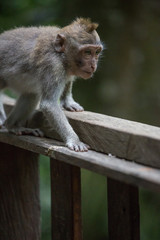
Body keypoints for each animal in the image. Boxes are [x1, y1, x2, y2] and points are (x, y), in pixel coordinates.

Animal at [0, 17, 103, 151]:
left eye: (97, 52)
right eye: (87, 52)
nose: (93, 65)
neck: (61, 56)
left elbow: (67, 81)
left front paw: (68, 102)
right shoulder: (53, 65)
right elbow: (49, 105)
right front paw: (74, 140)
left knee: (32, 95)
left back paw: (13, 126)